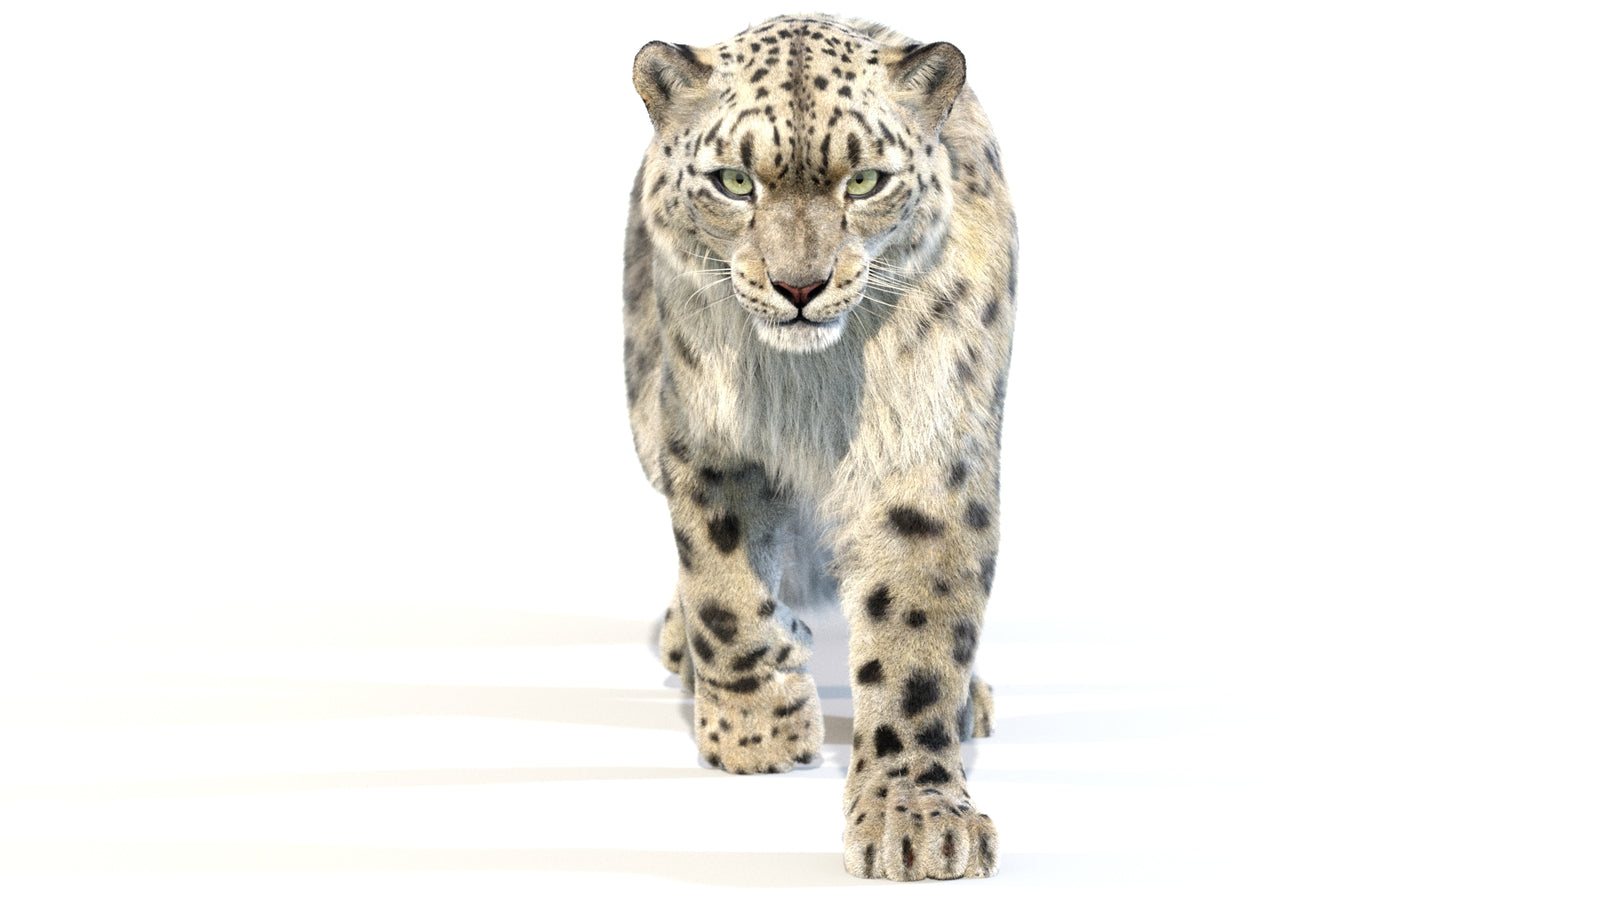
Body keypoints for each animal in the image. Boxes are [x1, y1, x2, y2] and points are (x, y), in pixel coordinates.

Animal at [622, 13, 1016, 881]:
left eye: (864, 181)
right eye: (735, 182)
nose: (799, 286)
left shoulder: (925, 454)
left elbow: (915, 640)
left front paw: (919, 819)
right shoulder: (707, 441)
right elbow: (724, 592)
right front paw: (757, 734)